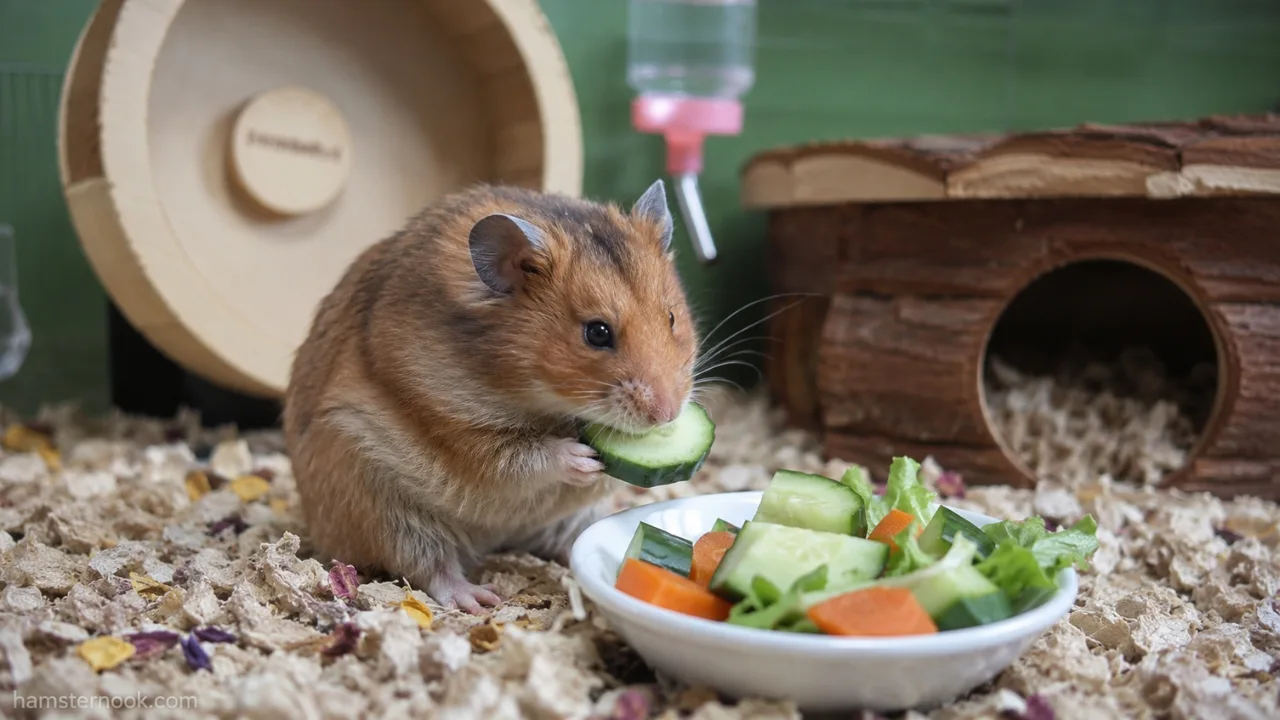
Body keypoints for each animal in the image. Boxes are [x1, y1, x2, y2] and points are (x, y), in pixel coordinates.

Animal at [282, 180, 697, 613]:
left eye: (671, 318)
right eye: (597, 333)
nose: (667, 416)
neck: (540, 398)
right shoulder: (455, 425)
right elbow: (520, 457)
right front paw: (584, 459)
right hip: (378, 503)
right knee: (430, 567)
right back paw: (481, 598)